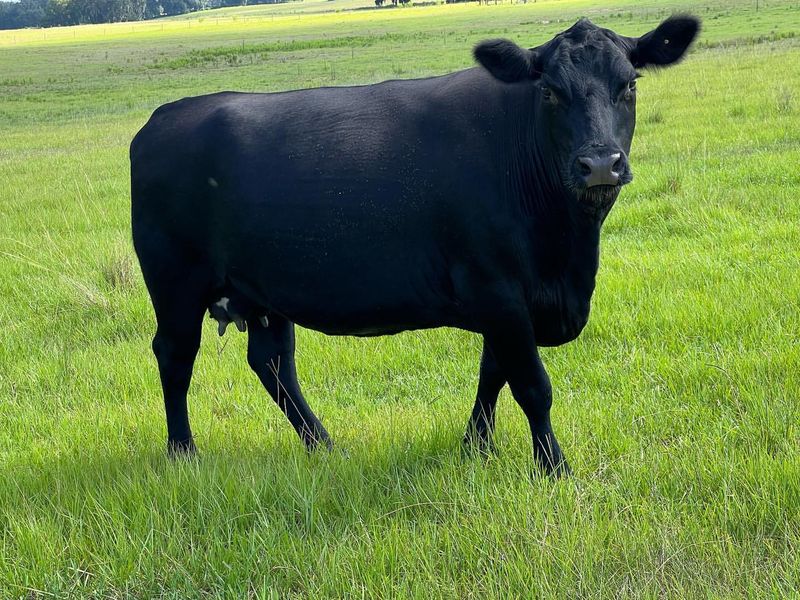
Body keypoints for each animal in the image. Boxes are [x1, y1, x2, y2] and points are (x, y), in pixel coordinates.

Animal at [131, 16, 700, 476]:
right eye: (551, 93)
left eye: (629, 84)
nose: (600, 163)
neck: (567, 255)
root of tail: (164, 116)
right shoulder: (498, 289)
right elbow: (531, 385)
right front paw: (553, 468)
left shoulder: (503, 301)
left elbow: (492, 373)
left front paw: (476, 446)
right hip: (176, 282)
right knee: (176, 356)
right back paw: (183, 452)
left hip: (264, 291)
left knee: (272, 364)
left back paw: (324, 446)